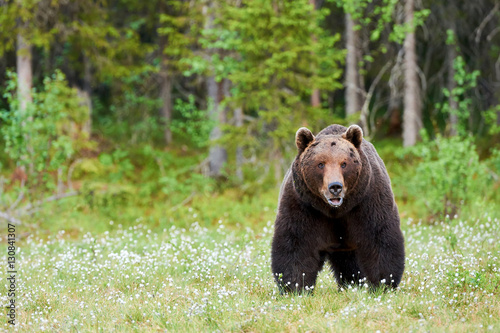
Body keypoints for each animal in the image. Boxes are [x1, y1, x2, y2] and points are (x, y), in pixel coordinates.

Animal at [272, 123, 404, 292]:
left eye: (344, 163)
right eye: (320, 164)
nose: (335, 187)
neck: (336, 210)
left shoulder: (368, 200)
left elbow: (379, 237)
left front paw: (383, 283)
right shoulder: (303, 204)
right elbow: (296, 243)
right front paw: (295, 286)